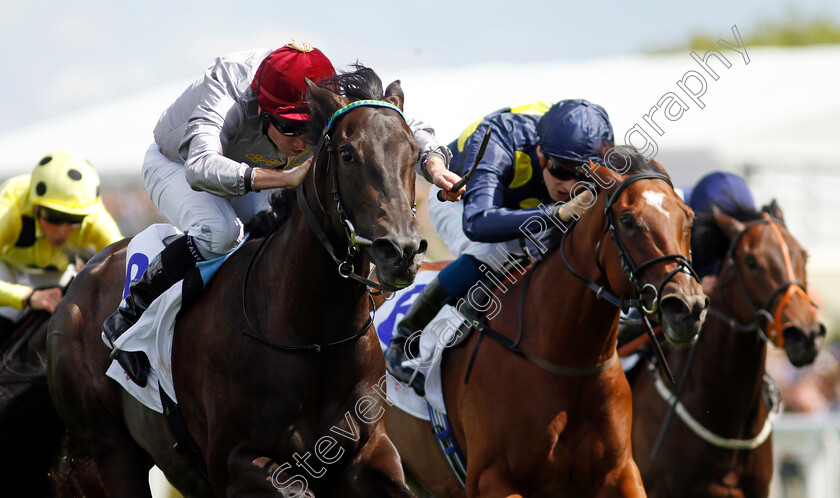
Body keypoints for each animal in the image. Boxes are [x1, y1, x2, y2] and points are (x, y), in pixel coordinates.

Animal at [46, 67, 426, 498]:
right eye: (347, 154)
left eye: (414, 151)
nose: (401, 250)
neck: (313, 336)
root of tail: (80, 280)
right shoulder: (231, 463)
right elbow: (292, 488)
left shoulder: (369, 451)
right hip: (110, 453)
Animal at [388, 150, 708, 496]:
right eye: (628, 221)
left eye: (689, 217)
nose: (688, 307)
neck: (564, 359)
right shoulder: (489, 476)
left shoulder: (621, 471)